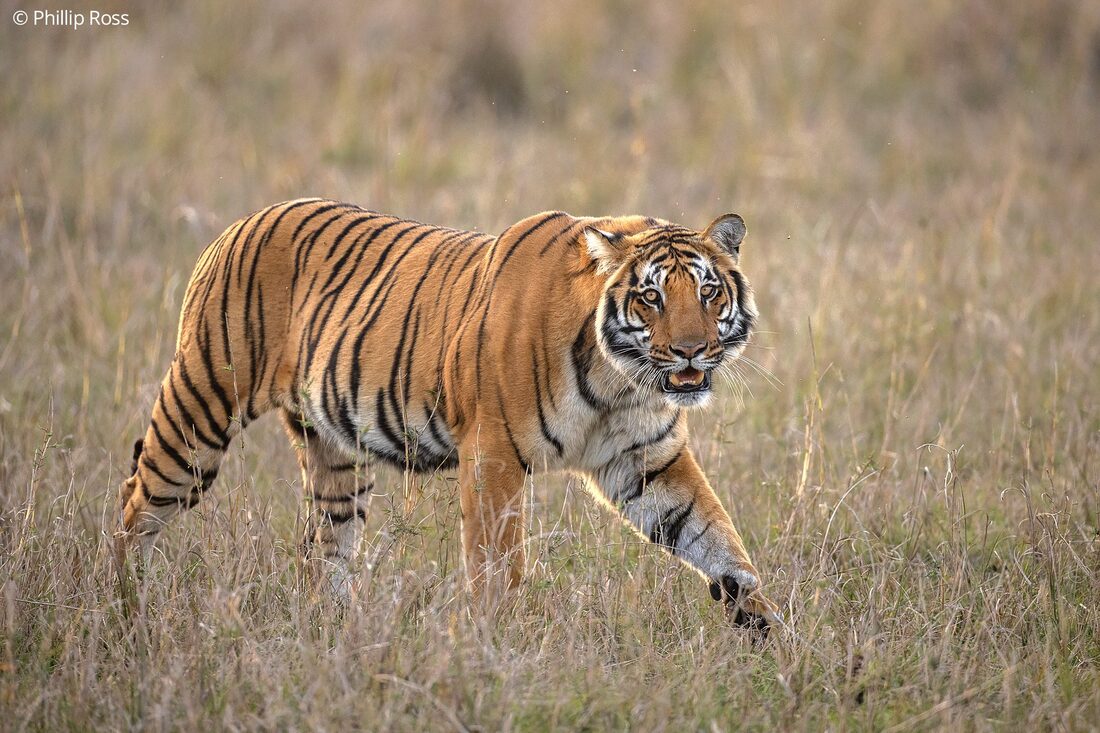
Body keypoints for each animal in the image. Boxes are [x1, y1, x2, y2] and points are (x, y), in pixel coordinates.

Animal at [116, 198, 783, 633]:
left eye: (708, 292)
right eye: (651, 296)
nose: (692, 350)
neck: (621, 383)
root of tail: (235, 225)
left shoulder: (649, 462)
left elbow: (717, 540)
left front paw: (770, 632)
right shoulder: (494, 454)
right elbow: (498, 564)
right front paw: (499, 645)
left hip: (337, 460)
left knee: (323, 550)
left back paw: (335, 630)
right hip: (199, 412)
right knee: (136, 504)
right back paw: (124, 605)